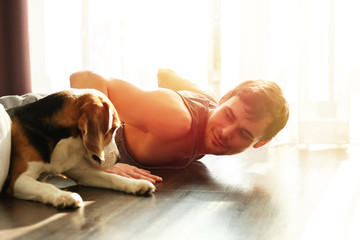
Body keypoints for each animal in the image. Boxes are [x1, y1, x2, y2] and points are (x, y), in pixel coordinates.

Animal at [4, 89, 155, 209]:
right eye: (112, 129)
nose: (119, 159)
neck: (62, 142)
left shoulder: (83, 173)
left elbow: (112, 176)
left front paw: (136, 184)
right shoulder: (18, 180)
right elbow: (44, 186)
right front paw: (64, 196)